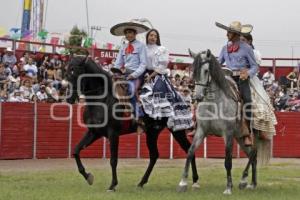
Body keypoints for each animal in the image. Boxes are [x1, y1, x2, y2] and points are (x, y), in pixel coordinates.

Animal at [65, 55, 199, 191]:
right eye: (67, 72)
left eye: (75, 72)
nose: (69, 98)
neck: (103, 99)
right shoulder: (94, 132)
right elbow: (76, 151)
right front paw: (88, 176)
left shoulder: (113, 134)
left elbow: (113, 160)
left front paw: (112, 185)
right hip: (152, 132)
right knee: (154, 155)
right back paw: (141, 182)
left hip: (177, 130)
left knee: (189, 150)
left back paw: (194, 181)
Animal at [177, 49, 270, 195]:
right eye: (193, 71)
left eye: (206, 71)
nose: (197, 97)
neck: (214, 104)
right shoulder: (201, 131)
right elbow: (190, 152)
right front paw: (183, 183)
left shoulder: (228, 134)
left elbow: (228, 161)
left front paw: (228, 188)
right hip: (241, 137)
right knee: (252, 156)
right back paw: (251, 183)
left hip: (253, 135)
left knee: (253, 154)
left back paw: (244, 180)